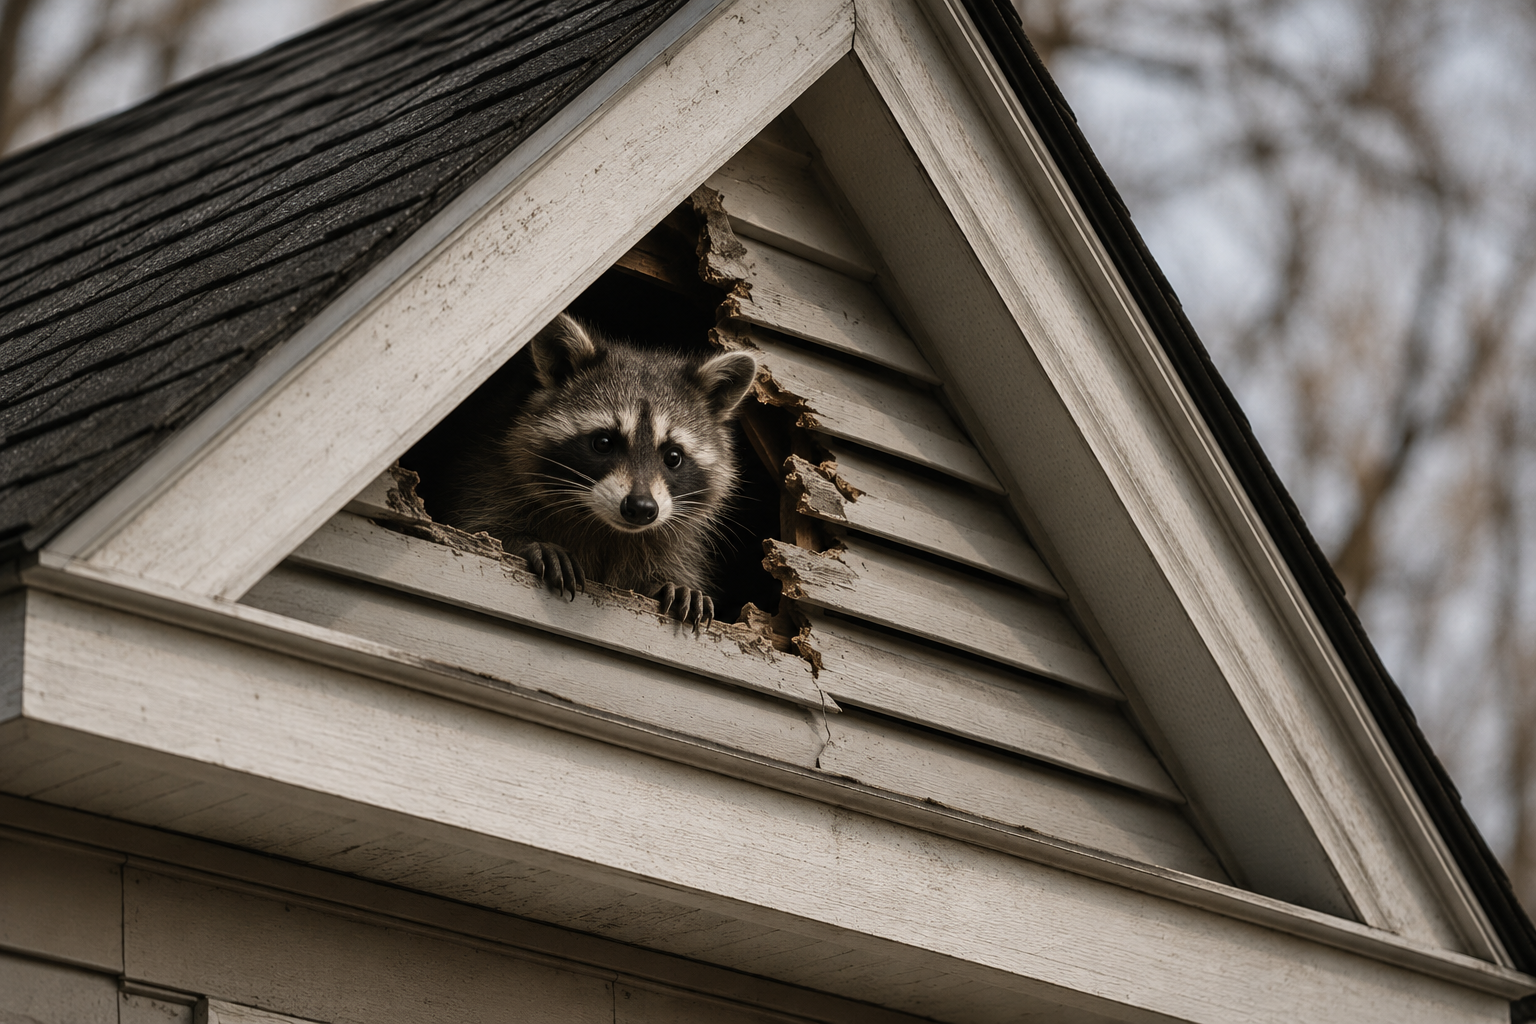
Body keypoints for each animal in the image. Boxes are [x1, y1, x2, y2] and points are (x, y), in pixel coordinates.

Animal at [451, 313, 758, 627]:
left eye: (673, 456)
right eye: (603, 443)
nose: (641, 507)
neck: (604, 526)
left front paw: (669, 583)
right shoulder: (491, 476)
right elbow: (484, 530)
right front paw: (528, 542)